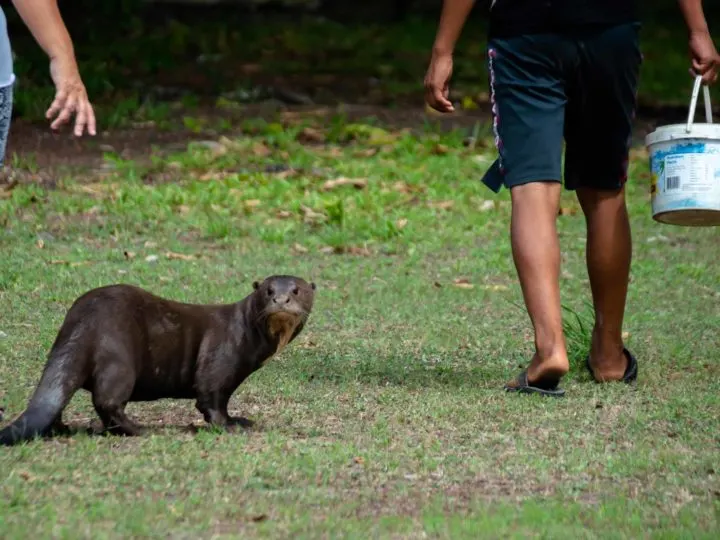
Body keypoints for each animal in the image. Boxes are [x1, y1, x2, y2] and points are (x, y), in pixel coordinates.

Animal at [0, 276, 316, 446]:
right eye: (268, 290)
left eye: (296, 290)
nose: (281, 300)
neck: (243, 329)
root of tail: (81, 322)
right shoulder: (218, 364)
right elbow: (212, 402)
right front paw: (232, 425)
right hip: (119, 355)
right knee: (107, 401)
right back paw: (140, 430)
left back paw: (61, 428)